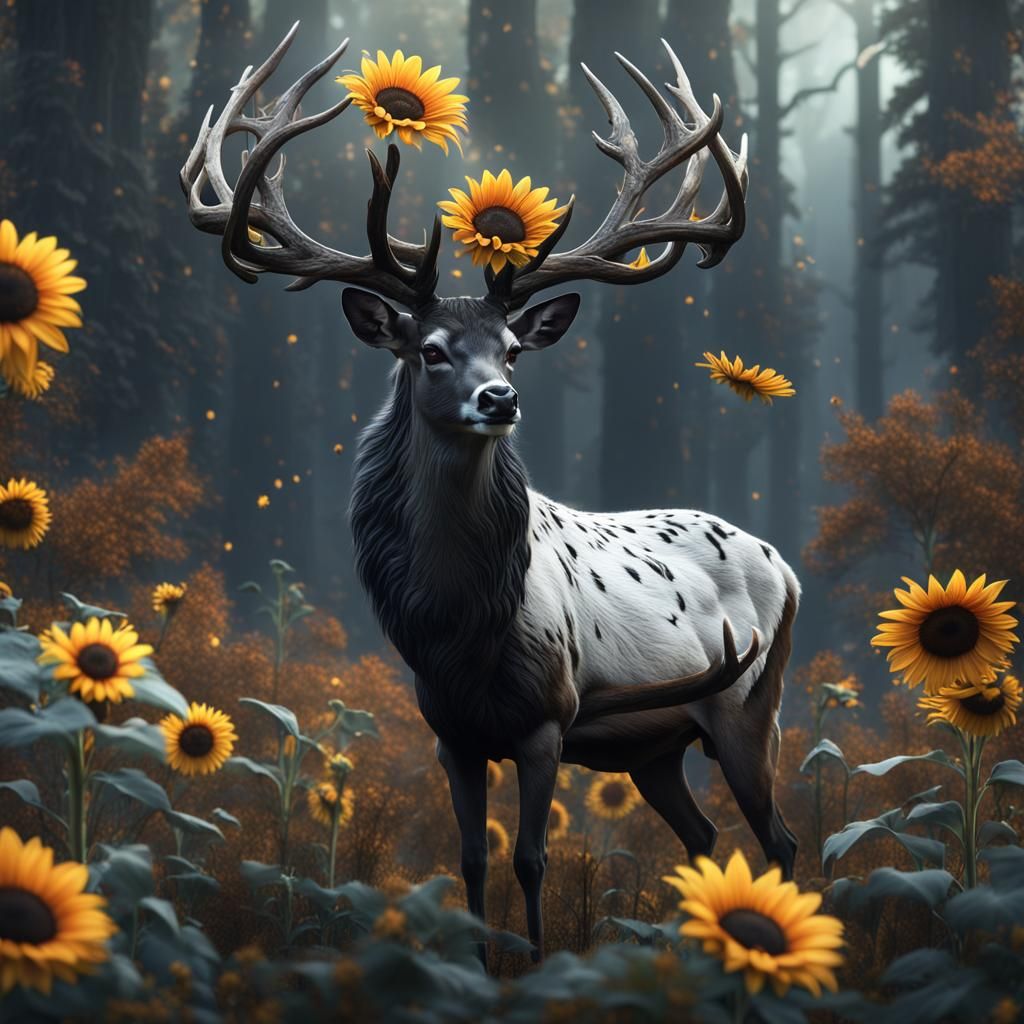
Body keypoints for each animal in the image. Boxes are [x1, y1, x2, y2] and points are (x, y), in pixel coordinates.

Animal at [182, 24, 800, 964]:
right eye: (430, 350)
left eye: (512, 348)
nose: (499, 399)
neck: (458, 629)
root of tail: (785, 566)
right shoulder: (451, 734)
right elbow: (471, 860)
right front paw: (475, 964)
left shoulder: (548, 719)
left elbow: (531, 861)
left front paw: (538, 965)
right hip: (655, 746)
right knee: (705, 839)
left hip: (747, 703)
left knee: (781, 840)